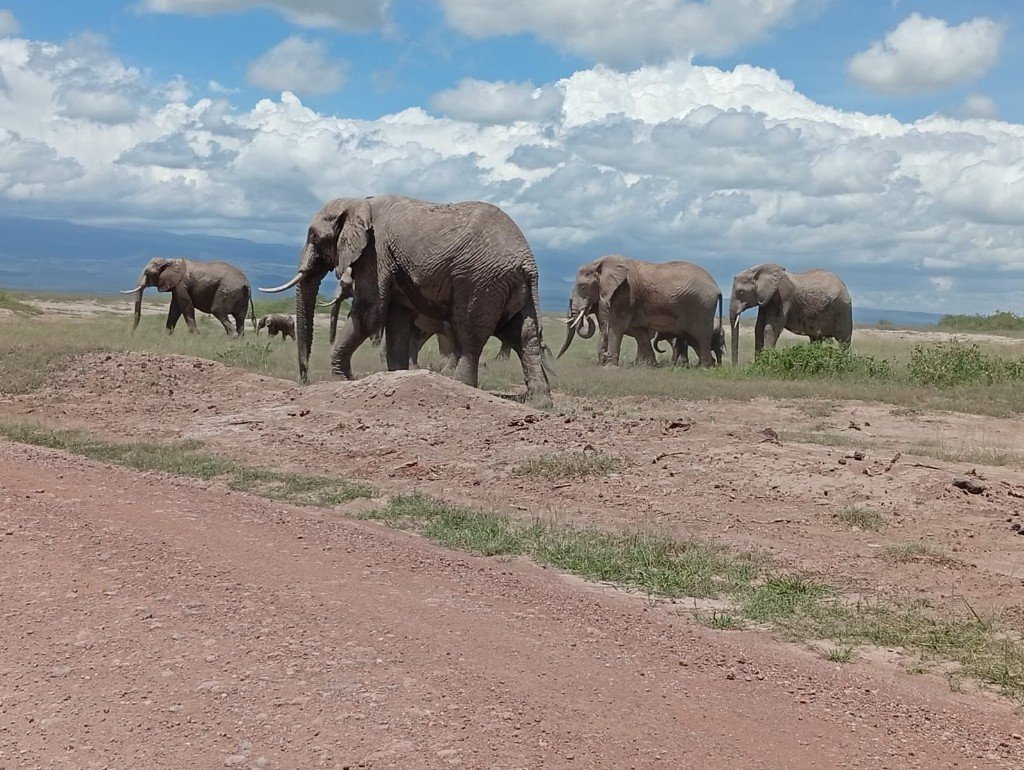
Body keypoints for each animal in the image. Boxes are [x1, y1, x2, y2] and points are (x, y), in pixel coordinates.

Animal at [122, 257, 255, 336]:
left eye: (148, 273)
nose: (132, 333)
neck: (169, 260)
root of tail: (246, 284)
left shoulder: (181, 285)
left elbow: (186, 307)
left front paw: (196, 337)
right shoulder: (176, 286)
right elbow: (174, 309)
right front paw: (166, 336)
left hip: (226, 292)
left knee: (218, 311)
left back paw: (232, 338)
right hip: (241, 297)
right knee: (240, 319)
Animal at [261, 195, 551, 404]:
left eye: (314, 237)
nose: (304, 380)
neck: (359, 202)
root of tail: (528, 262)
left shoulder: (374, 252)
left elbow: (369, 313)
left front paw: (339, 380)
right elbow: (397, 319)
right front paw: (397, 377)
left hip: (481, 281)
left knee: (470, 334)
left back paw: (461, 386)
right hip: (512, 286)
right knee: (523, 336)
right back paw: (540, 401)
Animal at [558, 255, 723, 367]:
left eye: (582, 286)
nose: (557, 359)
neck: (601, 262)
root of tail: (717, 287)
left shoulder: (625, 293)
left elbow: (616, 326)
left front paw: (609, 367)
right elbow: (639, 331)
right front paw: (650, 366)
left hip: (702, 306)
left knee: (701, 336)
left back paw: (704, 367)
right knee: (694, 338)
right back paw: (706, 365)